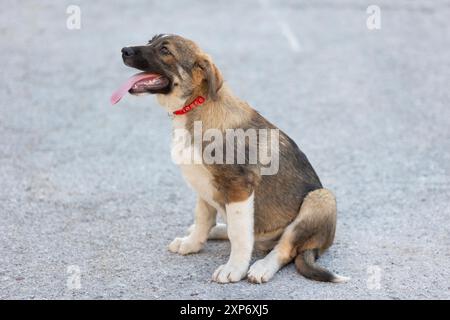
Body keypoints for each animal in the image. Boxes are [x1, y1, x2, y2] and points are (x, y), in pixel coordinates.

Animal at [110, 33, 348, 284]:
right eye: (150, 41)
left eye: (165, 50)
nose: (124, 50)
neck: (195, 106)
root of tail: (319, 246)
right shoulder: (203, 184)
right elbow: (204, 218)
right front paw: (192, 244)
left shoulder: (239, 186)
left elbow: (239, 233)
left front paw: (234, 268)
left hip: (321, 199)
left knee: (284, 248)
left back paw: (262, 266)